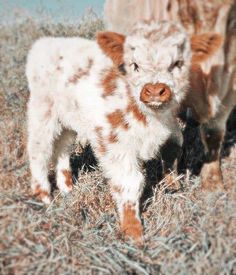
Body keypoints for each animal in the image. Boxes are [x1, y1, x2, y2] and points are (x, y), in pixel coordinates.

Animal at [26, 22, 192, 245]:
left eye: (176, 64)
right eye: (135, 65)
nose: (155, 91)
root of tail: (46, 42)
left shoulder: (170, 125)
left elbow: (175, 146)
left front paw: (173, 185)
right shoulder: (114, 141)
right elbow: (130, 181)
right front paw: (134, 232)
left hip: (69, 117)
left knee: (62, 146)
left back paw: (67, 188)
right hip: (43, 111)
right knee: (39, 149)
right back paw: (44, 197)